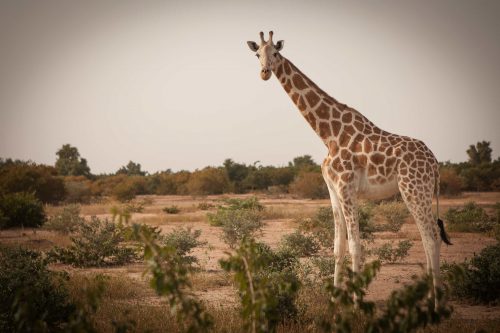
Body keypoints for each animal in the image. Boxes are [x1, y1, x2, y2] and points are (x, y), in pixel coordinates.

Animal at [247, 31, 454, 298]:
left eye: (275, 53)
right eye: (256, 54)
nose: (264, 72)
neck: (329, 135)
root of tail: (435, 163)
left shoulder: (347, 188)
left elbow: (356, 245)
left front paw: (356, 300)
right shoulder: (333, 190)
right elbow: (339, 246)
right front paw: (335, 298)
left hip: (414, 189)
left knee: (431, 236)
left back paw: (436, 301)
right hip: (420, 192)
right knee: (426, 235)